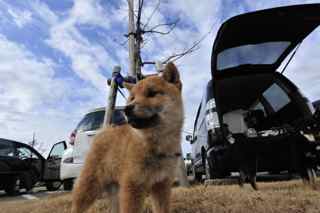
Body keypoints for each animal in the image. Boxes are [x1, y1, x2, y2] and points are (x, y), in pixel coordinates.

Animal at [71, 62, 184, 213]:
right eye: (132, 98)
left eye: (152, 93)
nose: (127, 109)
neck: (156, 144)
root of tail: (104, 130)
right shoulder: (132, 186)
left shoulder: (162, 185)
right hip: (89, 187)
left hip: (115, 191)